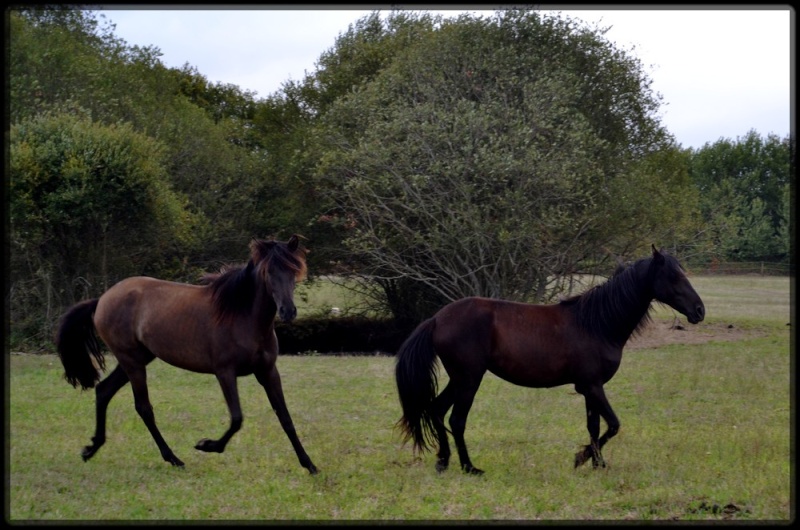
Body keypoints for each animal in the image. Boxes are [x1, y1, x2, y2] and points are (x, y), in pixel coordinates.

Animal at [56, 233, 318, 472]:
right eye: (268, 272)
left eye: (294, 271)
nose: (288, 311)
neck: (242, 316)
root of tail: (102, 299)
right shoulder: (224, 372)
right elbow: (237, 418)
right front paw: (207, 445)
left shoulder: (268, 371)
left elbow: (285, 418)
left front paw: (310, 464)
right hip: (132, 361)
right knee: (143, 408)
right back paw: (173, 458)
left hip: (136, 359)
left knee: (104, 391)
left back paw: (91, 448)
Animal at [396, 245, 704, 472]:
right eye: (674, 276)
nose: (700, 311)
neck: (596, 323)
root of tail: (437, 319)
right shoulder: (593, 386)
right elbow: (613, 424)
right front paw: (582, 458)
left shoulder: (589, 388)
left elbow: (594, 426)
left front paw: (597, 463)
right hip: (470, 379)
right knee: (457, 419)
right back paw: (470, 467)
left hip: (459, 379)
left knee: (436, 410)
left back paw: (443, 461)